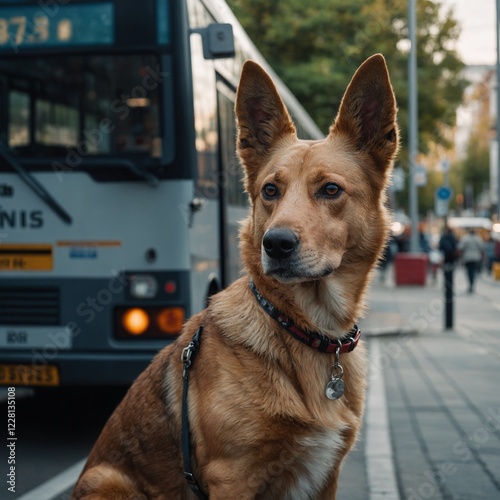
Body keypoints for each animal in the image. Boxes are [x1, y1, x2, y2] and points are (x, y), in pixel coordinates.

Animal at [72, 54, 398, 500]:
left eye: (331, 190)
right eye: (270, 191)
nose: (276, 244)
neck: (305, 330)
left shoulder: (325, 477)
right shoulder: (232, 477)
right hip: (107, 481)